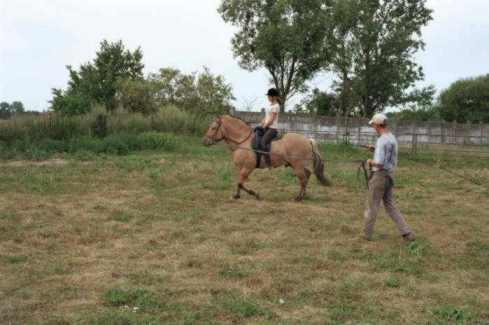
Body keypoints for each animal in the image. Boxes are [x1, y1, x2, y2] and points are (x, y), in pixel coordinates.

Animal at [202, 114, 332, 200]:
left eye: (213, 128)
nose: (205, 141)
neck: (243, 141)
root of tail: (308, 140)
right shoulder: (243, 168)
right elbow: (239, 182)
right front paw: (237, 195)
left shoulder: (247, 168)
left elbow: (240, 183)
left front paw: (255, 194)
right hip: (299, 165)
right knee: (307, 176)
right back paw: (303, 195)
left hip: (298, 166)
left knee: (303, 179)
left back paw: (299, 197)